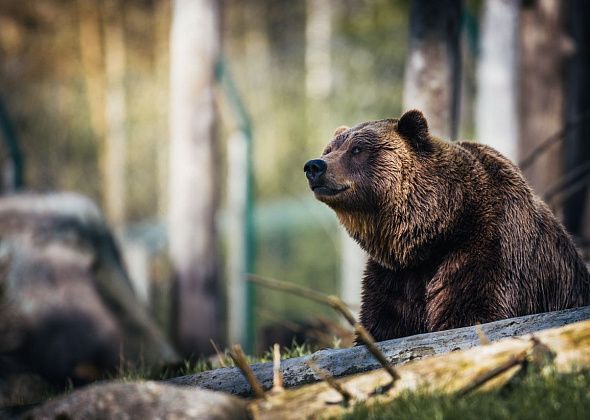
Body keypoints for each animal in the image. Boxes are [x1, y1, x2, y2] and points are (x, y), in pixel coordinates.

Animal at [306, 110, 590, 342]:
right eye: (329, 149)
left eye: (357, 149)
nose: (314, 165)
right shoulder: (395, 275)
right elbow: (384, 322)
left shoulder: (488, 246)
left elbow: (471, 310)